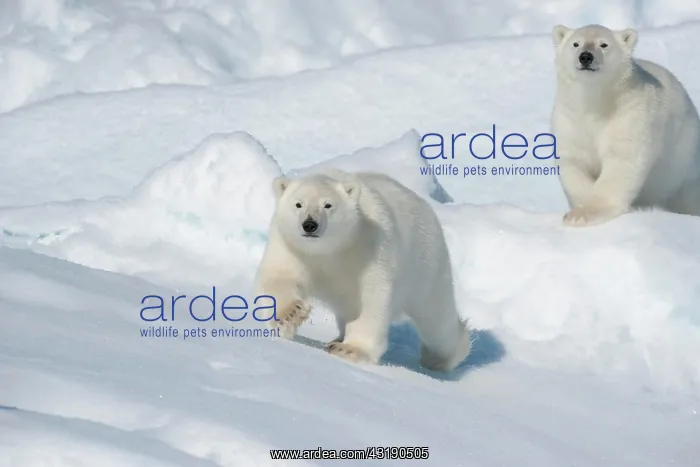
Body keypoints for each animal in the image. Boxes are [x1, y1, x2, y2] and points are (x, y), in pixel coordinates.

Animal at [252, 168, 472, 372]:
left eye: (328, 205)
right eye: (298, 204)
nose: (310, 225)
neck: (330, 250)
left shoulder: (369, 247)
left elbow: (373, 295)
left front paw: (351, 349)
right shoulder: (291, 247)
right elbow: (279, 278)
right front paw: (290, 315)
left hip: (425, 266)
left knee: (436, 320)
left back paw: (440, 358)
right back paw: (337, 339)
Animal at [550, 24, 700, 226]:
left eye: (604, 44)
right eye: (576, 43)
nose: (586, 57)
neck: (596, 103)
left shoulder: (630, 114)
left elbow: (622, 159)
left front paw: (585, 214)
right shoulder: (570, 119)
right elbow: (574, 161)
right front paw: (576, 211)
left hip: (682, 164)